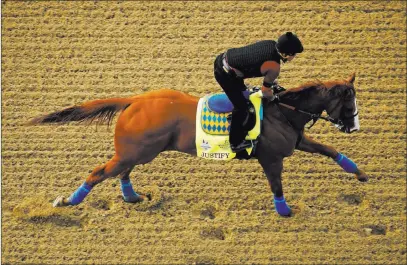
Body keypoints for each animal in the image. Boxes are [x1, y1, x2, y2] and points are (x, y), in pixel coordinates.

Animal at [30, 72, 370, 217]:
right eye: (349, 100)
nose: (354, 127)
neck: (282, 111)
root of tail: (134, 100)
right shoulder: (272, 158)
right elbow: (277, 185)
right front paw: (285, 212)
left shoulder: (298, 141)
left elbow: (330, 151)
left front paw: (361, 173)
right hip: (136, 151)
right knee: (99, 172)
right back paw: (68, 201)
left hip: (139, 152)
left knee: (122, 172)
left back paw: (132, 197)